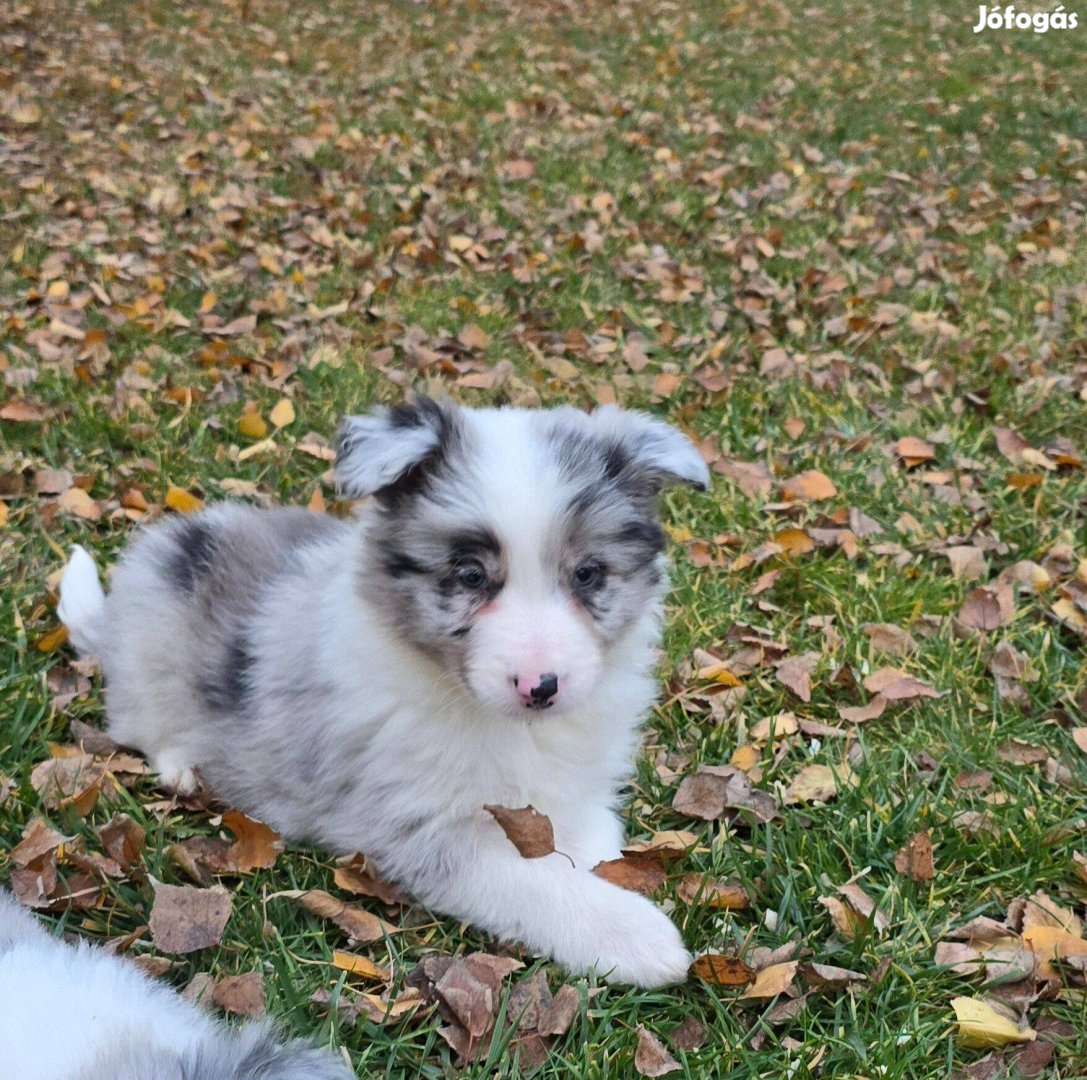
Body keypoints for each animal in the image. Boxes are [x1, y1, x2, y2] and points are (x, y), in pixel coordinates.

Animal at [59, 397, 708, 986]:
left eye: (588, 574)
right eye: (469, 575)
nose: (540, 687)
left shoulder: (573, 788)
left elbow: (590, 842)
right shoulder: (420, 827)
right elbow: (537, 881)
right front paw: (635, 935)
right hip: (154, 647)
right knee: (140, 721)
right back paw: (183, 767)